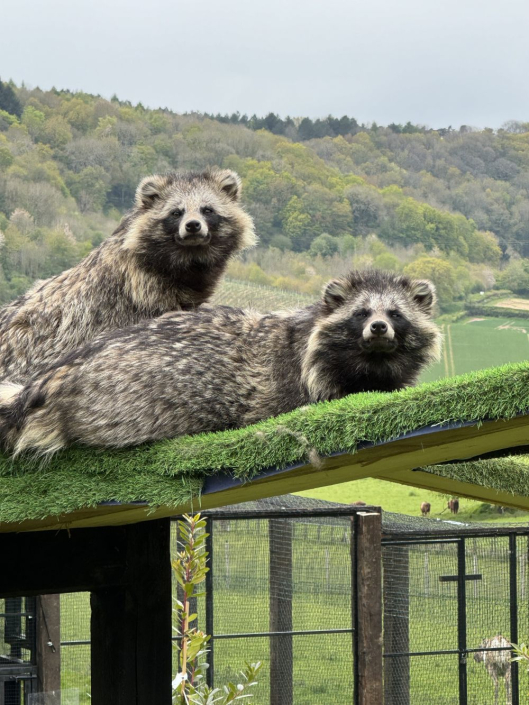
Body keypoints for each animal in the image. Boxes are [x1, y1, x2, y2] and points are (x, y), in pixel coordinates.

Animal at [0, 270, 440, 456]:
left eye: (395, 314)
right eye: (362, 313)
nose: (379, 327)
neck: (369, 361)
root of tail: (57, 374)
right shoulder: (296, 378)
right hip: (130, 393)